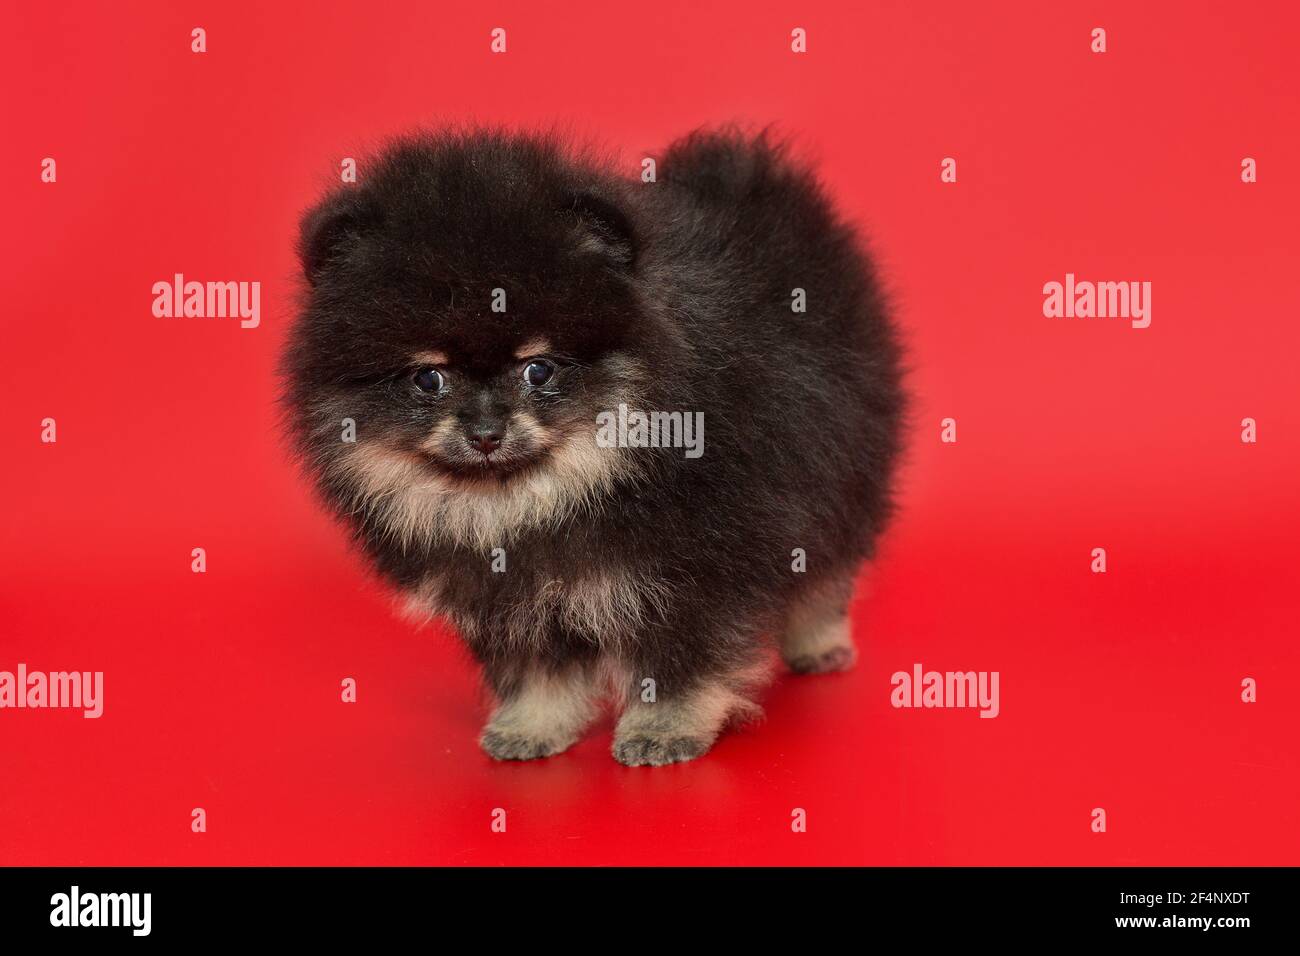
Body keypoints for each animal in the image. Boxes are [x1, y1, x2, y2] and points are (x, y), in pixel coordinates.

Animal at [282, 128, 904, 770]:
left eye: (538, 369)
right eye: (428, 379)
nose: (486, 432)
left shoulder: (693, 571)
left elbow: (678, 659)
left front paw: (663, 730)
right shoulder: (511, 596)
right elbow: (537, 669)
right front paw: (531, 726)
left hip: (846, 470)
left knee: (829, 566)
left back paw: (820, 643)